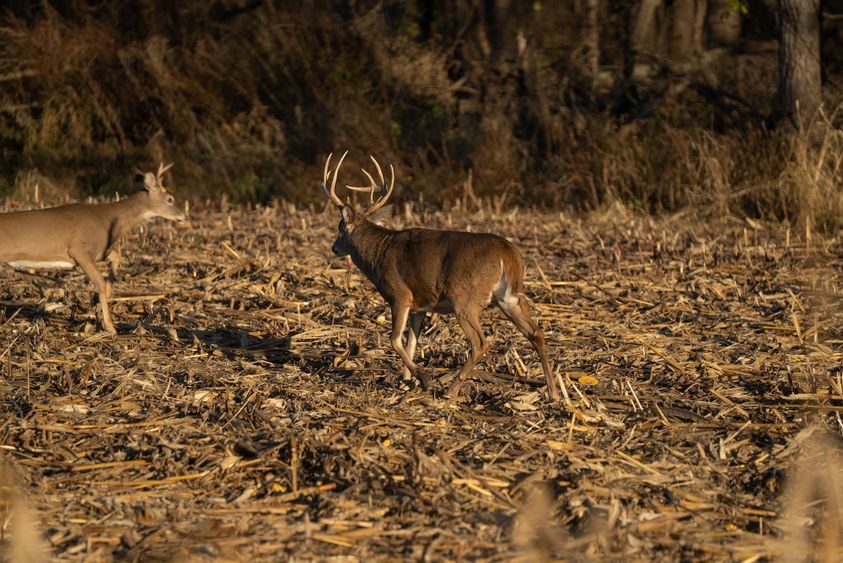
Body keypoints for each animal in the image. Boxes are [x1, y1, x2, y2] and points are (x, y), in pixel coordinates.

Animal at [0, 163, 185, 335]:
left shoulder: (99, 252)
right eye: (170, 199)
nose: (183, 216)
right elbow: (100, 282)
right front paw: (110, 327)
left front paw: (110, 291)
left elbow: (116, 258)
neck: (108, 219)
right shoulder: (79, 250)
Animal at [320, 151, 560, 402]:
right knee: (536, 332)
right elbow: (411, 344)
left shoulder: (400, 295)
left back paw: (451, 390)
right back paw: (553, 393)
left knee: (481, 342)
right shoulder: (419, 306)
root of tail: (509, 254)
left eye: (340, 228)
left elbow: (394, 340)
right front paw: (406, 382)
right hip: (509, 298)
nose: (334, 248)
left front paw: (423, 378)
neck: (378, 252)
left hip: (465, 299)